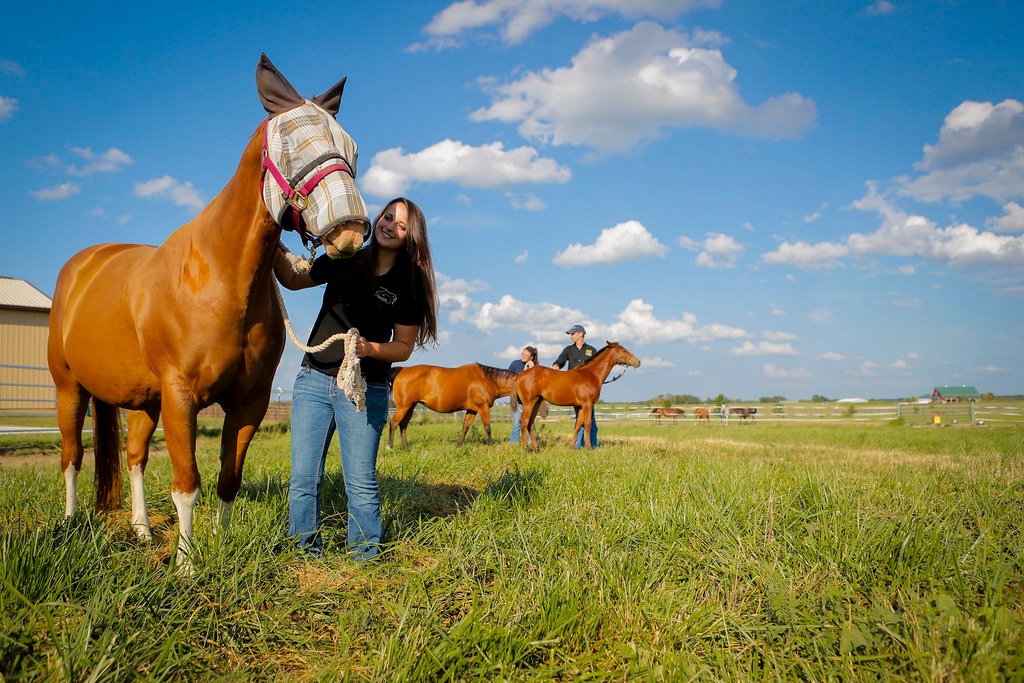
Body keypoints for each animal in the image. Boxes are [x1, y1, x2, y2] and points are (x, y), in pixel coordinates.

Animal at [47, 53, 372, 569]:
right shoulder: (181, 398)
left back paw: (141, 531)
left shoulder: (248, 402)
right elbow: (187, 484)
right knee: (72, 455)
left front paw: (217, 542)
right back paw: (70, 522)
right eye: (290, 142)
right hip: (69, 388)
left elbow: (227, 479)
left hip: (144, 400)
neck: (220, 278)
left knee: (135, 456)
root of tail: (83, 265)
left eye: (352, 147)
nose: (350, 231)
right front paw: (186, 563)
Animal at [391, 362, 520, 448]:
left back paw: (405, 447)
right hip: (403, 407)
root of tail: (402, 370)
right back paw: (390, 447)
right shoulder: (483, 407)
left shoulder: (472, 410)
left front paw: (459, 445)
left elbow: (465, 427)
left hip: (410, 407)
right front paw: (491, 445)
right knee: (394, 423)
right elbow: (487, 428)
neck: (487, 380)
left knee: (403, 425)